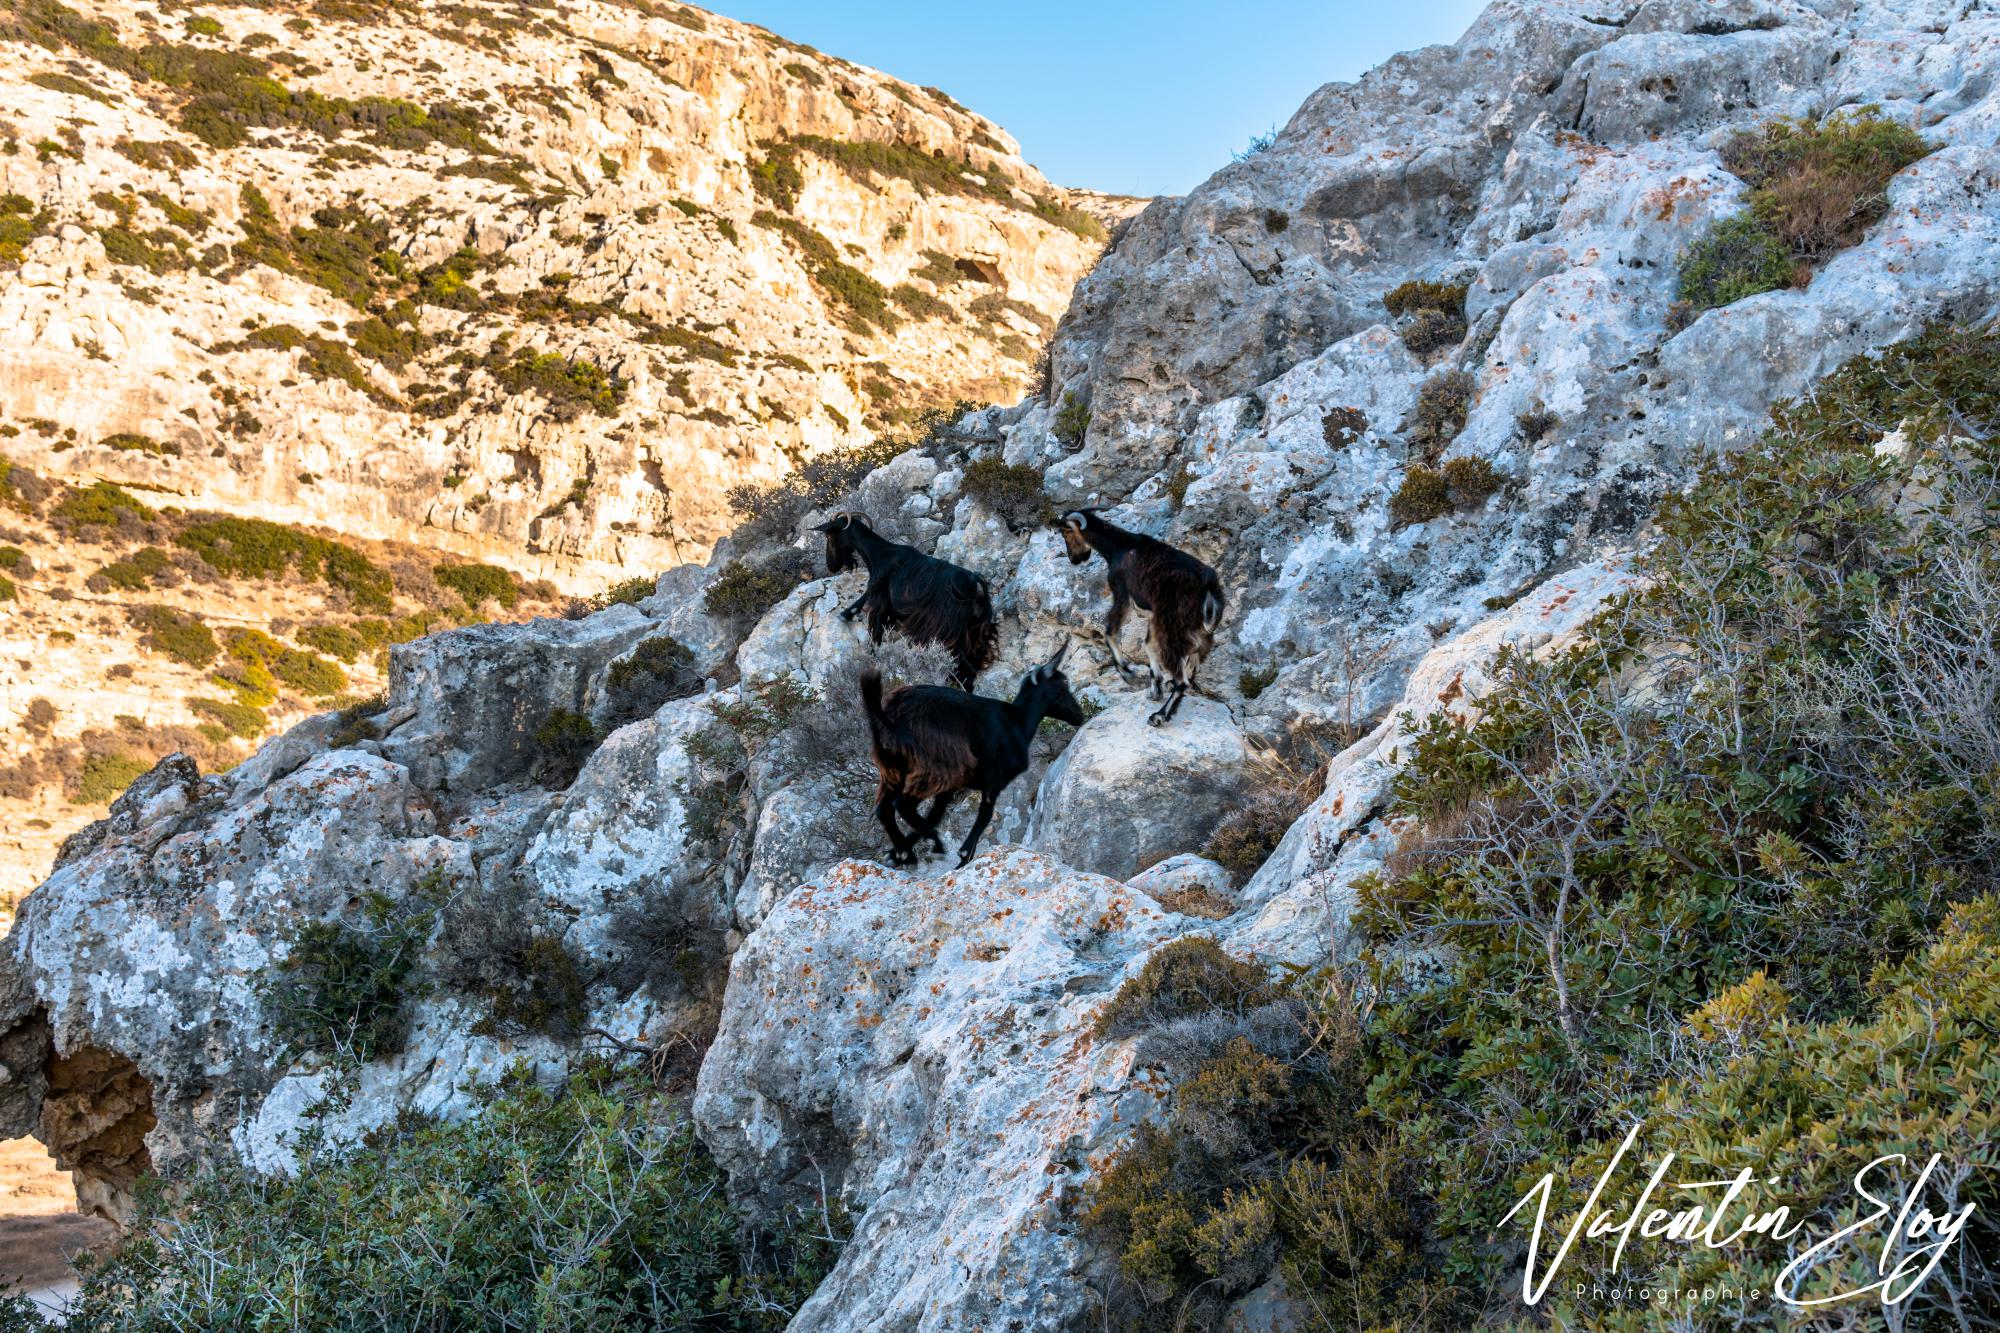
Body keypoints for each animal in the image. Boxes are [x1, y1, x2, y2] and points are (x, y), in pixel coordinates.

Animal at [816, 510, 996, 684]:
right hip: (971, 636)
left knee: (965, 670)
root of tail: (975, 585)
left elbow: (875, 636)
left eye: (829, 536)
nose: (831, 566)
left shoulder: (880, 604)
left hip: (951, 635)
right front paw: (845, 614)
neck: (881, 554)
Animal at [856, 640, 1088, 868]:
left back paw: (906, 852)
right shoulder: (994, 780)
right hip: (936, 766)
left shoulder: (954, 787)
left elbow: (936, 814)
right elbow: (984, 816)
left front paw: (896, 854)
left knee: (884, 809)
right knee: (903, 804)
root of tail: (891, 715)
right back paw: (933, 844)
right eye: (1064, 683)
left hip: (893, 768)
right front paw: (964, 855)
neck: (1018, 722)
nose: (1079, 715)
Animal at [1056, 506, 1224, 728]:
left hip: (1174, 626)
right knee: (1192, 662)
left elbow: (1110, 630)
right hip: (1197, 630)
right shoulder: (1154, 615)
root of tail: (1208, 586)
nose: (1073, 558)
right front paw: (1155, 687)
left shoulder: (1122, 592)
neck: (1118, 546)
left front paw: (1127, 672)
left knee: (1181, 677)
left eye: (1065, 532)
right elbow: (1148, 644)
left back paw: (1159, 716)